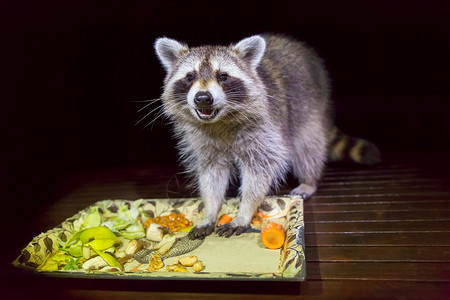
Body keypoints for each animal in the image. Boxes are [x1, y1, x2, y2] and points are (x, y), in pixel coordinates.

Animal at [154, 33, 380, 239]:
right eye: (190, 76)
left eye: (223, 77)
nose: (202, 98)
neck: (219, 121)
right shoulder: (203, 139)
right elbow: (212, 172)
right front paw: (211, 210)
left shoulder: (263, 128)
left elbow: (260, 169)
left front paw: (245, 211)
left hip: (309, 105)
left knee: (308, 145)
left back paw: (309, 180)